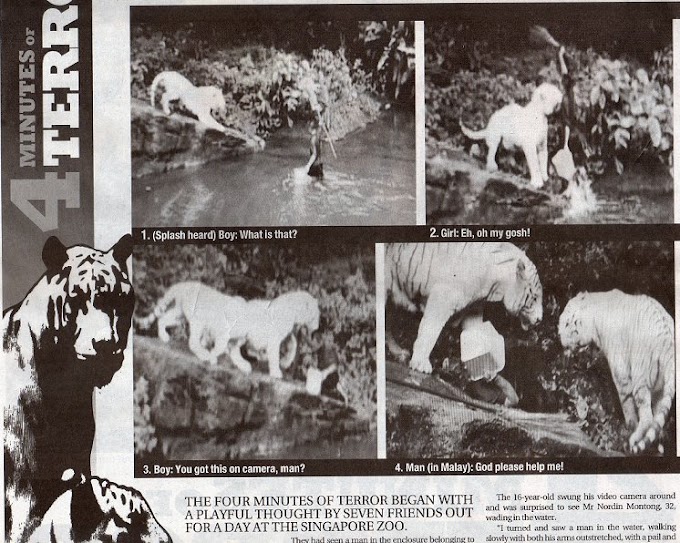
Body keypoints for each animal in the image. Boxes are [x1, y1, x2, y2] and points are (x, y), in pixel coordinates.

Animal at [136, 282, 322, 380]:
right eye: (316, 313)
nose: (318, 326)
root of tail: (185, 284)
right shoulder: (271, 338)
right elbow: (276, 353)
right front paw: (277, 370)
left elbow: (293, 343)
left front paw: (285, 362)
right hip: (199, 321)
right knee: (193, 342)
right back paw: (206, 355)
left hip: (179, 314)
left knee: (163, 319)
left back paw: (164, 337)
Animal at [388, 244, 540, 376]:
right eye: (535, 298)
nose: (539, 320)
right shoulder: (442, 297)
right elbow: (429, 332)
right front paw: (420, 364)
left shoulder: (473, 308)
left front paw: (487, 369)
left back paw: (398, 352)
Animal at [556, 292, 676, 456]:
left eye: (567, 323)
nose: (560, 337)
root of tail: (668, 341)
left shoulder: (620, 370)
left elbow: (627, 406)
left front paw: (629, 429)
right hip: (662, 387)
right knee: (657, 417)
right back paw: (658, 445)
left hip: (641, 375)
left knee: (647, 416)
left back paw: (634, 440)